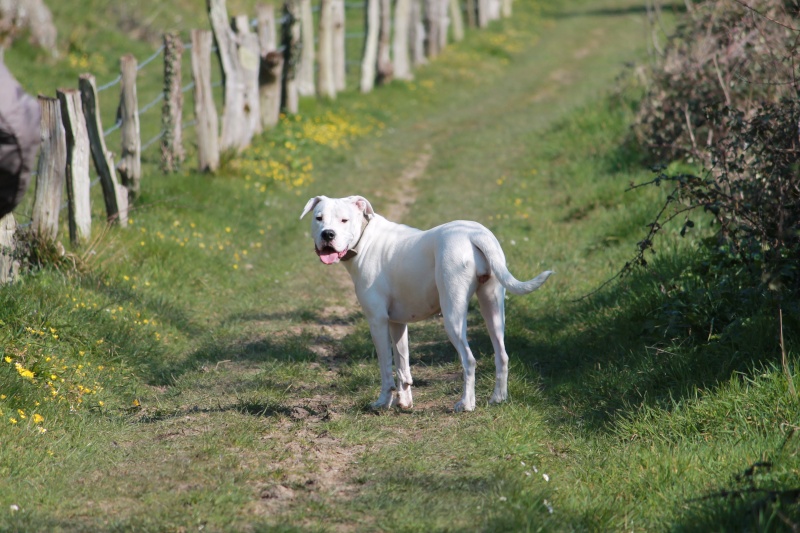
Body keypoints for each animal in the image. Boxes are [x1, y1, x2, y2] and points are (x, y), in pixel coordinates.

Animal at [298, 195, 552, 412]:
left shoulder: (377, 321)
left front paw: (383, 402)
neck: (365, 239)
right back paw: (498, 398)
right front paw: (404, 402)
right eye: (318, 218)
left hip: (453, 315)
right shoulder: (397, 323)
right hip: (493, 307)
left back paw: (466, 404)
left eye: (344, 220)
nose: (327, 234)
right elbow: (402, 364)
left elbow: (386, 366)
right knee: (502, 354)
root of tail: (474, 235)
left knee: (469, 359)